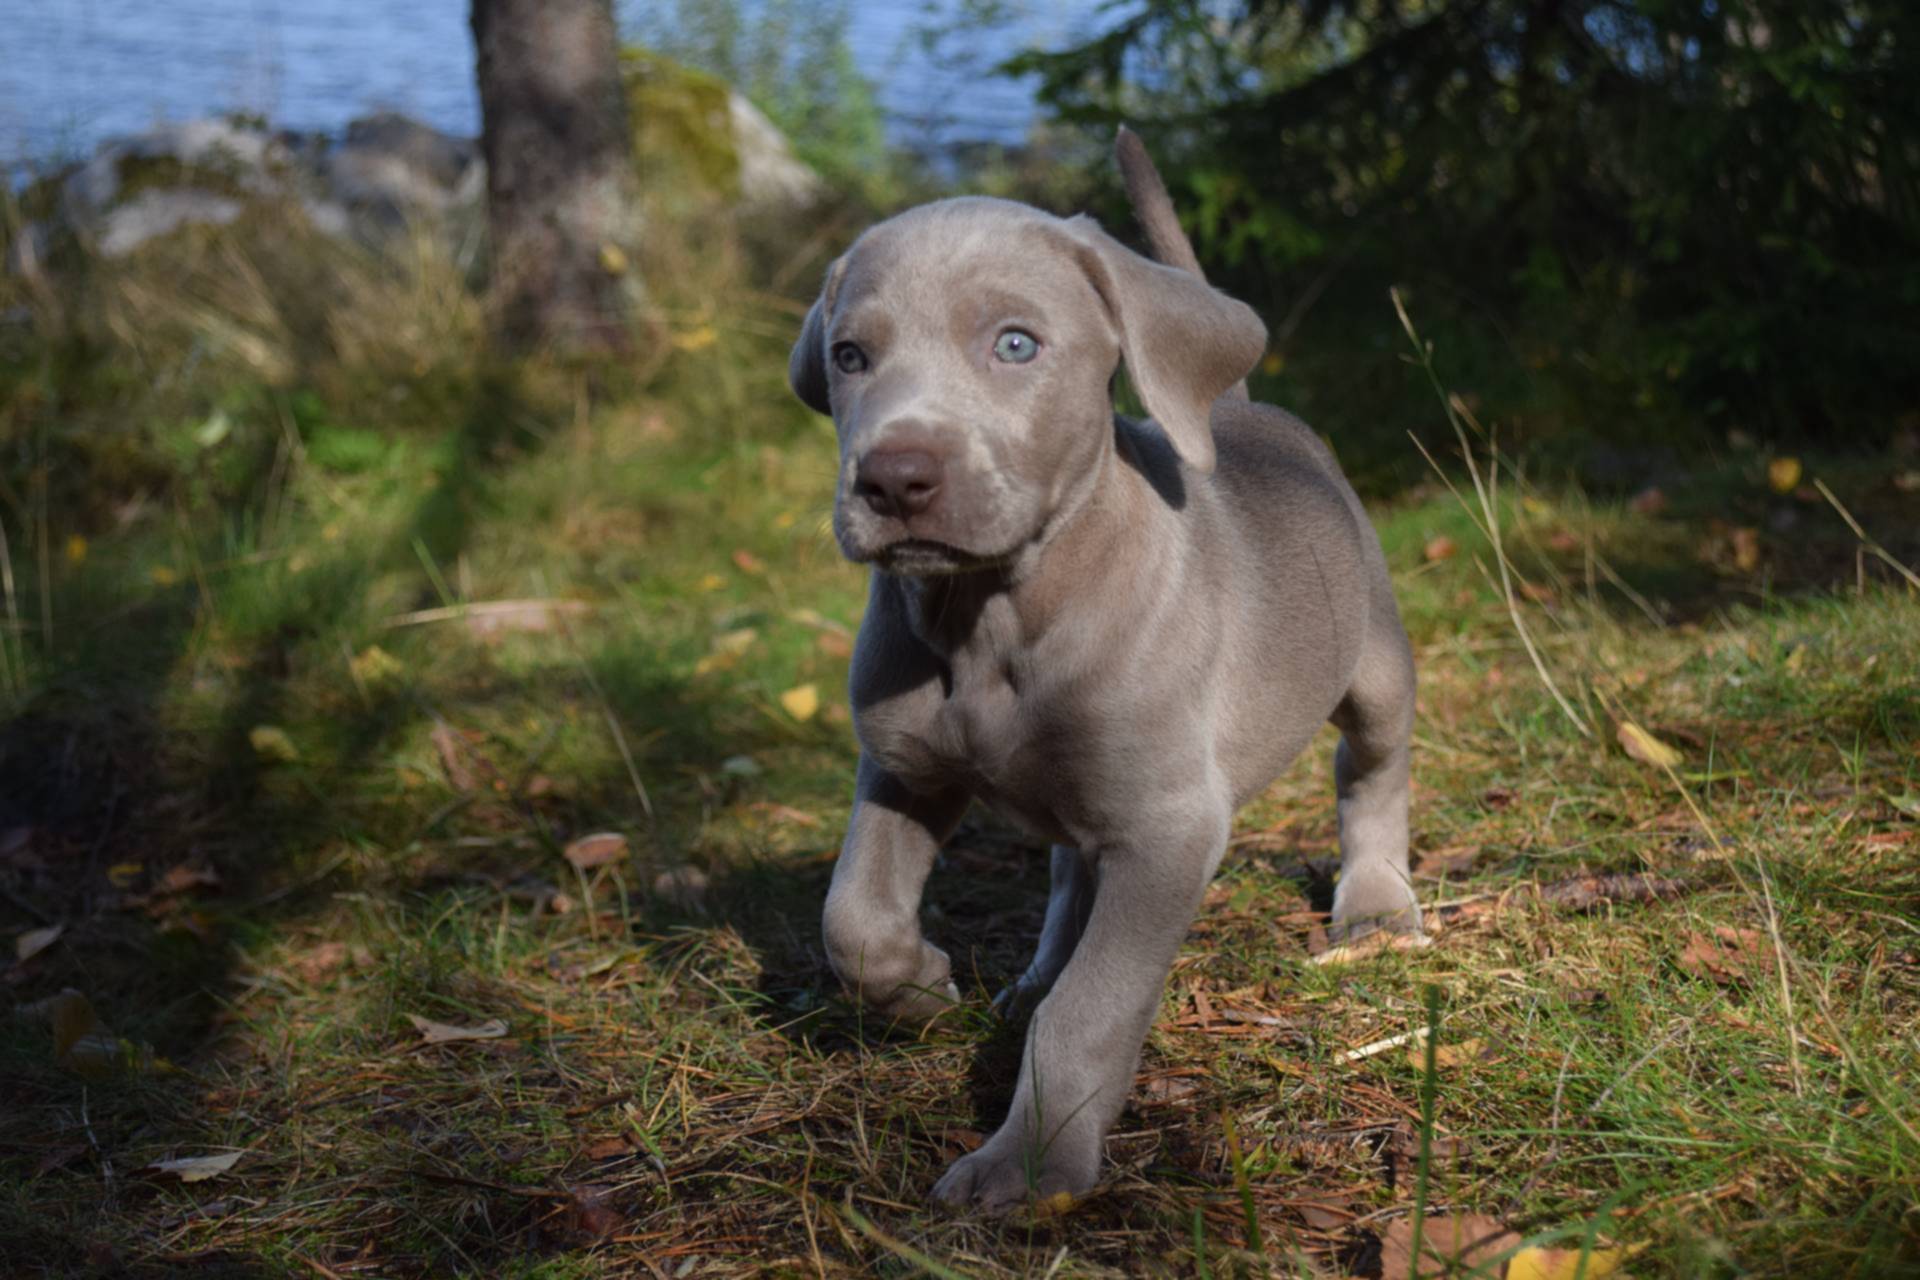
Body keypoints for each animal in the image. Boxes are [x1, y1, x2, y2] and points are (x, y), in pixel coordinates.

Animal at [783, 130, 1428, 1212]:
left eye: (1015, 345)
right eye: (849, 356)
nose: (894, 480)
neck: (993, 615)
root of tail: (1244, 406)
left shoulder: (1170, 826)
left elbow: (1093, 1006)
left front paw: (1032, 1159)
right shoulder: (905, 768)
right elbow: (853, 919)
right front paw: (920, 988)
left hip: (1373, 657)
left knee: (1371, 771)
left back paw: (1377, 902)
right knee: (1066, 868)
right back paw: (1033, 970)